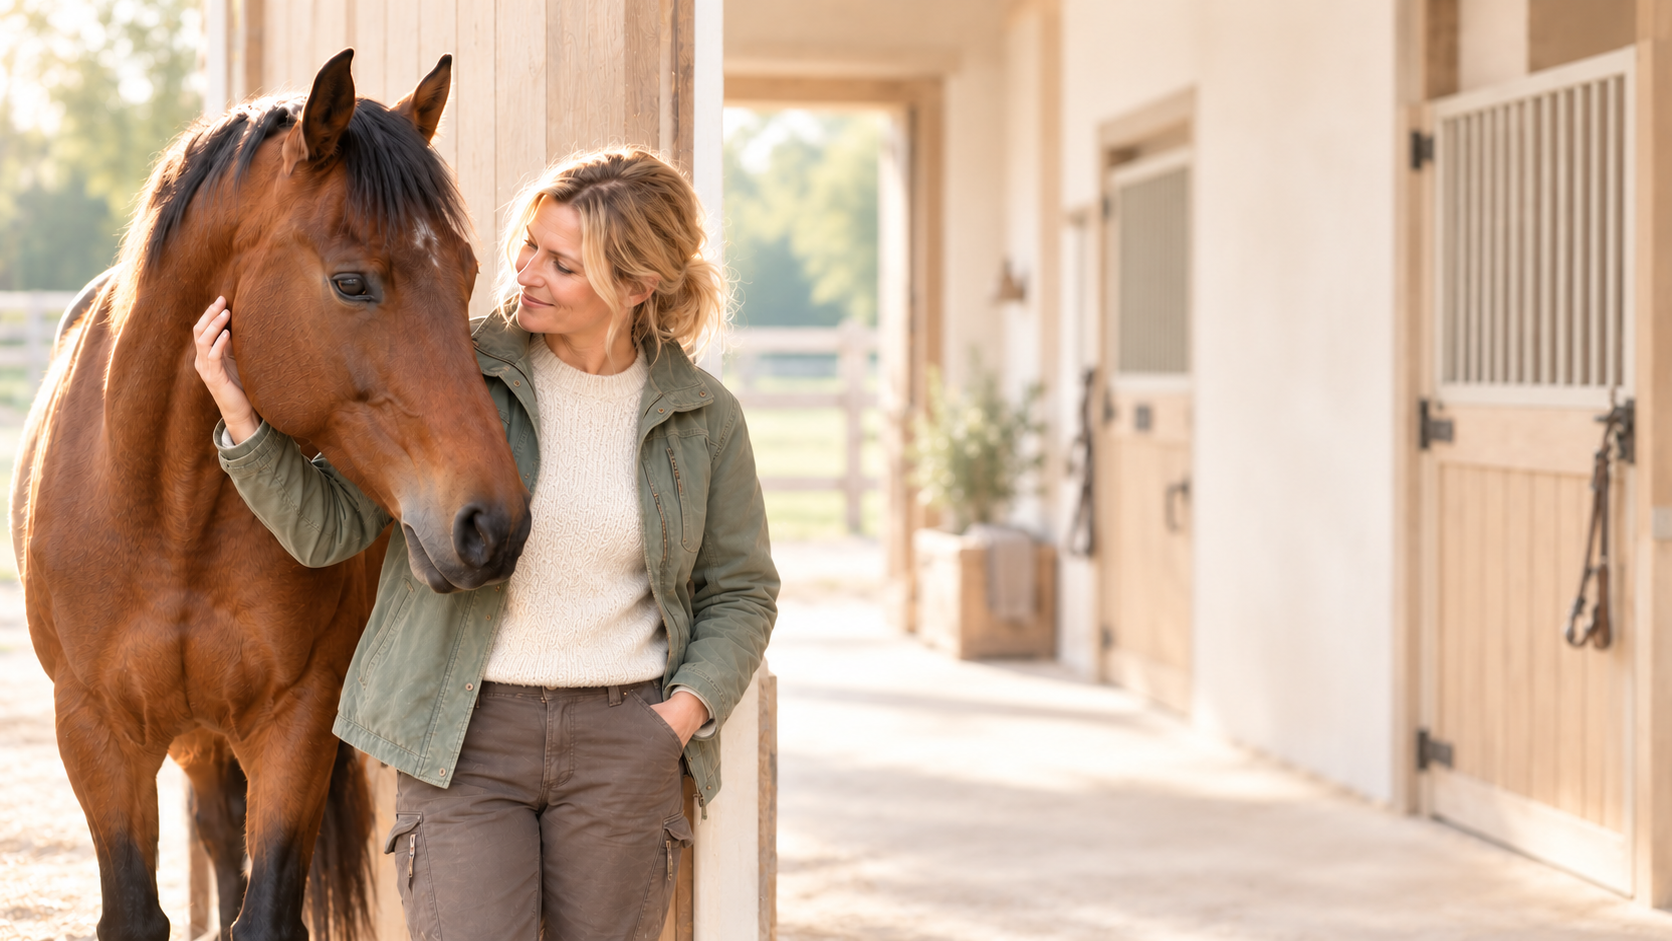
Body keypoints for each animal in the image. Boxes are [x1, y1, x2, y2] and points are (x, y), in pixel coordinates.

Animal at [12, 49, 531, 941]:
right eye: (351, 282)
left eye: (464, 271)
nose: (492, 525)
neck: (167, 510)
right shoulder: (95, 731)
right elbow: (136, 910)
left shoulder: (295, 724)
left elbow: (264, 908)